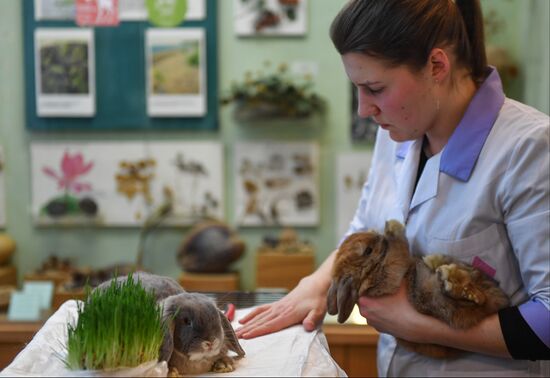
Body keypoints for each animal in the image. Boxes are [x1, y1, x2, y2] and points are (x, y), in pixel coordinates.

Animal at [328, 219, 512, 358]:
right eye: (368, 250)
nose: (380, 236)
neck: (368, 273)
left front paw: (390, 226)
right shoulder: (391, 271)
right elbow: (399, 248)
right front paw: (393, 227)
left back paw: (439, 265)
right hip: (440, 302)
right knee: (474, 299)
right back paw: (453, 281)